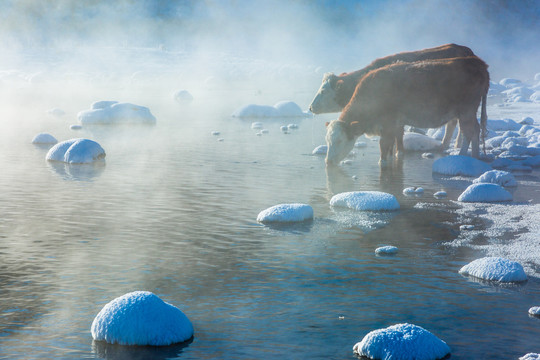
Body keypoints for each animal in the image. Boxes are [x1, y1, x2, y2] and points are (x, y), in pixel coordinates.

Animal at [324, 56, 490, 166]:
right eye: (327, 140)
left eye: (339, 140)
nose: (328, 161)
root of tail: (478, 62)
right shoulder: (396, 124)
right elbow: (396, 144)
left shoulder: (388, 124)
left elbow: (384, 146)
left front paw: (382, 163)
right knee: (474, 130)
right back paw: (474, 156)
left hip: (466, 111)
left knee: (469, 131)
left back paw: (463, 156)